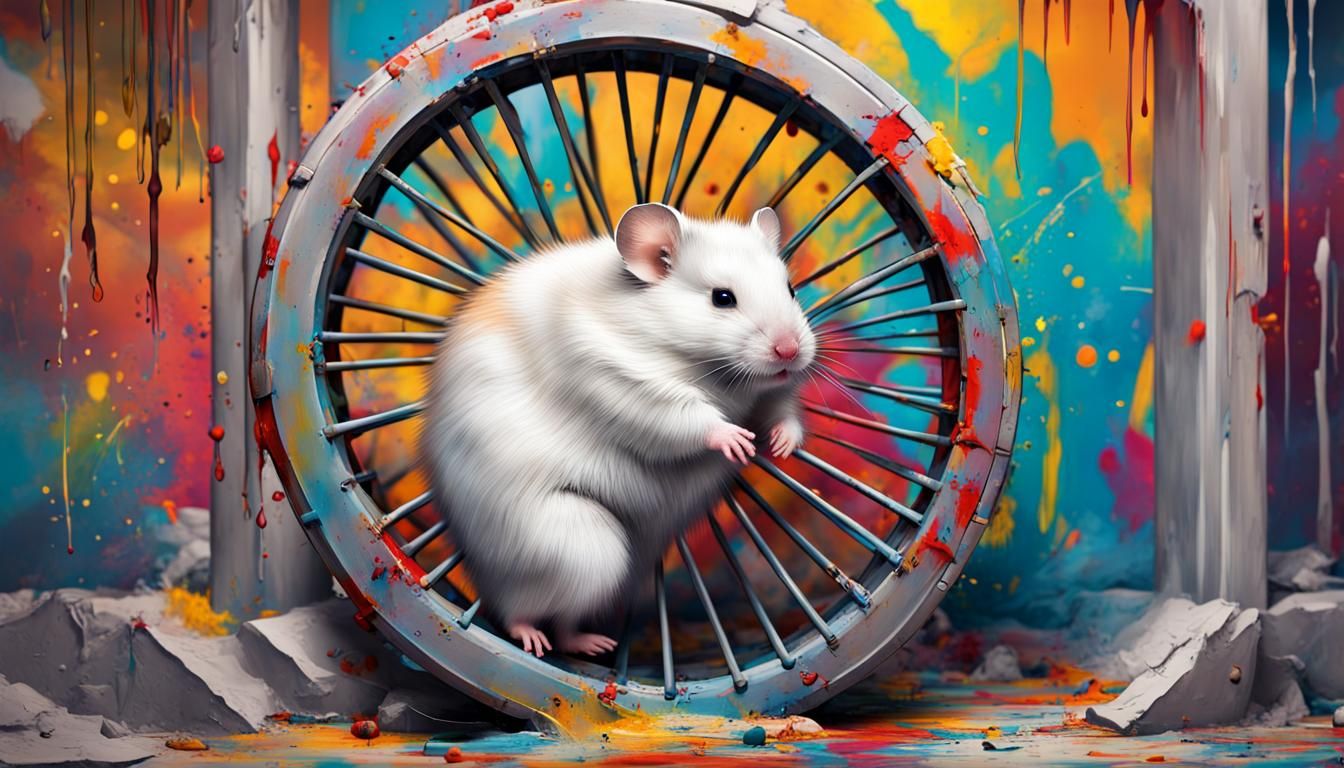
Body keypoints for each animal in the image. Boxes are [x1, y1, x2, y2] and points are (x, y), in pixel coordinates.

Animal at [422, 203, 817, 657]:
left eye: (791, 289)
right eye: (722, 298)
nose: (789, 350)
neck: (716, 373)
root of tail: (477, 575)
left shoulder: (770, 391)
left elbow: (781, 407)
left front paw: (782, 446)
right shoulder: (624, 383)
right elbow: (686, 417)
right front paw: (735, 442)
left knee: (562, 621)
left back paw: (596, 644)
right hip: (580, 547)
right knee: (522, 612)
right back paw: (540, 640)